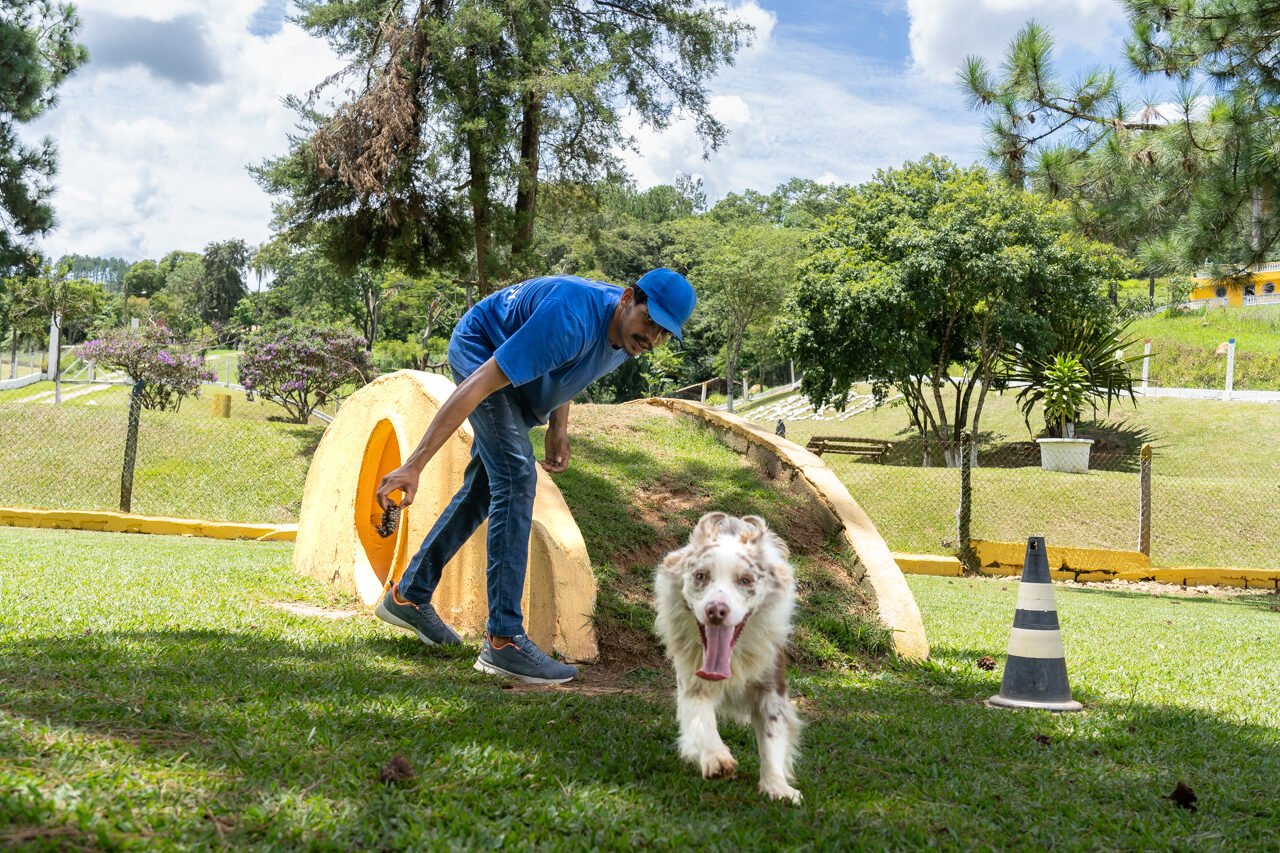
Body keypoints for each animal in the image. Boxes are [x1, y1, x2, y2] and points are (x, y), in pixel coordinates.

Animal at [660, 507, 798, 799]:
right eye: (701, 575)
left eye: (745, 580)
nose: (716, 610)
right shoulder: (693, 681)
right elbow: (701, 720)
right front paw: (716, 758)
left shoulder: (771, 683)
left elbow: (772, 734)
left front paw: (777, 786)